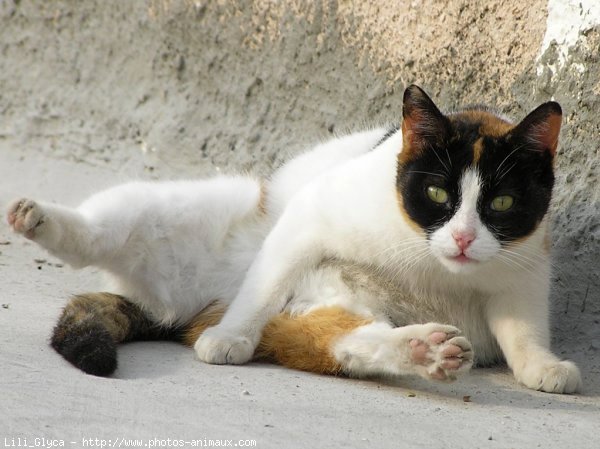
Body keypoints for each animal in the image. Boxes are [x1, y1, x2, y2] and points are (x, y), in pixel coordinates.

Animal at [5, 84, 580, 392]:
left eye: (500, 204)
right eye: (438, 192)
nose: (461, 238)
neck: (431, 263)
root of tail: (195, 310)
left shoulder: (524, 273)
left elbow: (523, 330)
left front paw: (543, 366)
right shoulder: (311, 214)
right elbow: (263, 287)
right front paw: (231, 339)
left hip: (331, 306)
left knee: (341, 341)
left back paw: (424, 351)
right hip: (170, 213)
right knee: (99, 233)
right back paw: (39, 218)